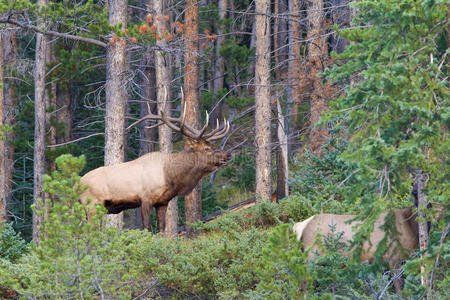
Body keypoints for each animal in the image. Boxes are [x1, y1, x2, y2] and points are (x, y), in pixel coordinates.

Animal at [78, 93, 230, 230]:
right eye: (207, 148)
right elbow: (146, 228)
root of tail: (77, 184)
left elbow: (162, 228)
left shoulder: (162, 202)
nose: (227, 154)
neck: (171, 176)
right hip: (91, 205)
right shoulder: (145, 198)